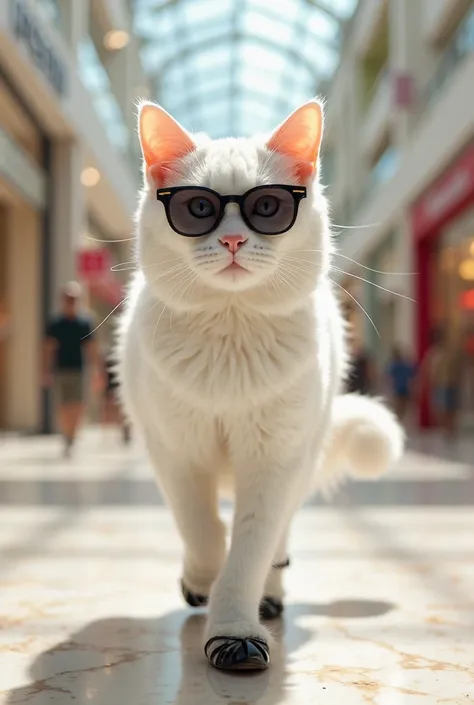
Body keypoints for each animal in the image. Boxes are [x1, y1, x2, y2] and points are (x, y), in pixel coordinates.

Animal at [116, 99, 402, 672]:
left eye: (267, 207)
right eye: (197, 209)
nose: (232, 240)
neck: (231, 337)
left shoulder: (275, 459)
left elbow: (249, 550)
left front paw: (233, 630)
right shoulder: (175, 451)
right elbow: (202, 529)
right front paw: (202, 580)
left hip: (305, 452)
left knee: (278, 541)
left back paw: (268, 597)